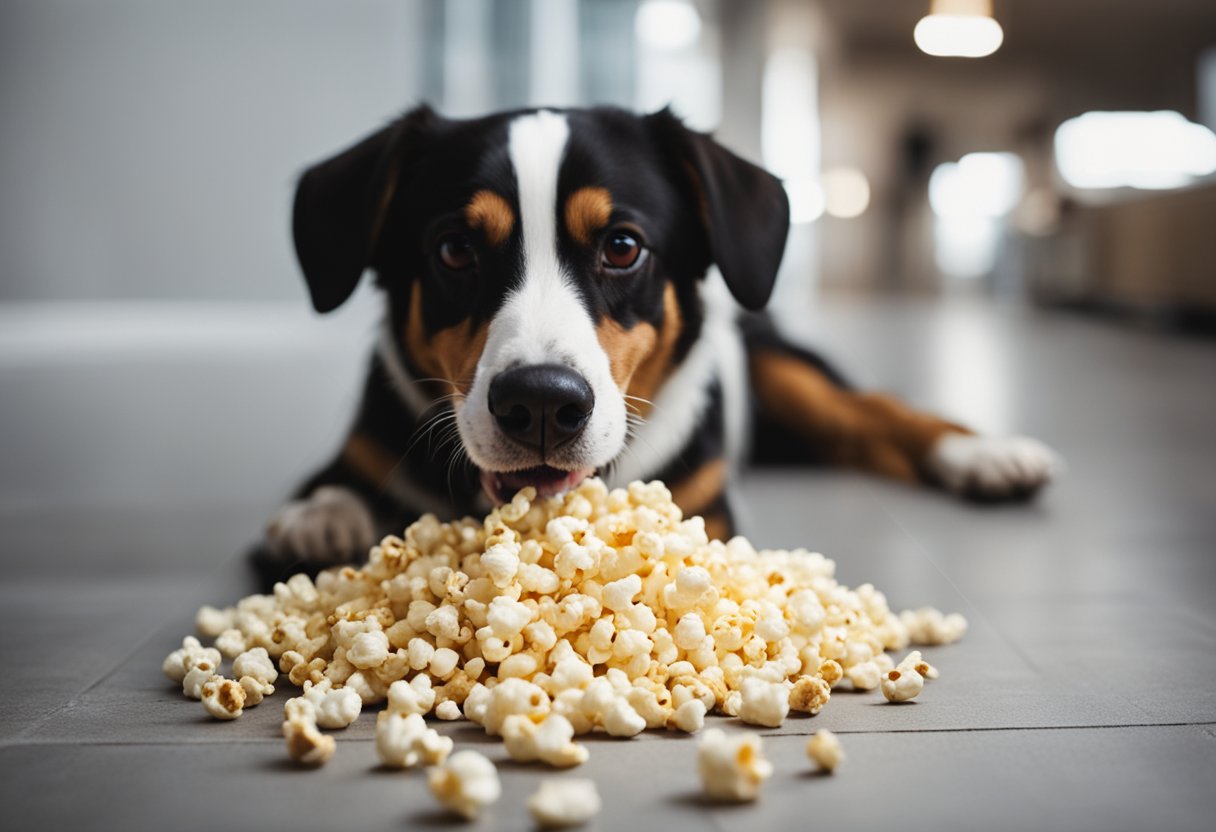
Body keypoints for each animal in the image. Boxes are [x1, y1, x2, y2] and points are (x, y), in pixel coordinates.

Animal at [254, 105, 1055, 583]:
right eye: (454, 250)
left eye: (622, 246)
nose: (540, 404)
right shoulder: (360, 449)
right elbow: (335, 490)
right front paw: (323, 518)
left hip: (780, 363)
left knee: (868, 412)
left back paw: (987, 456)